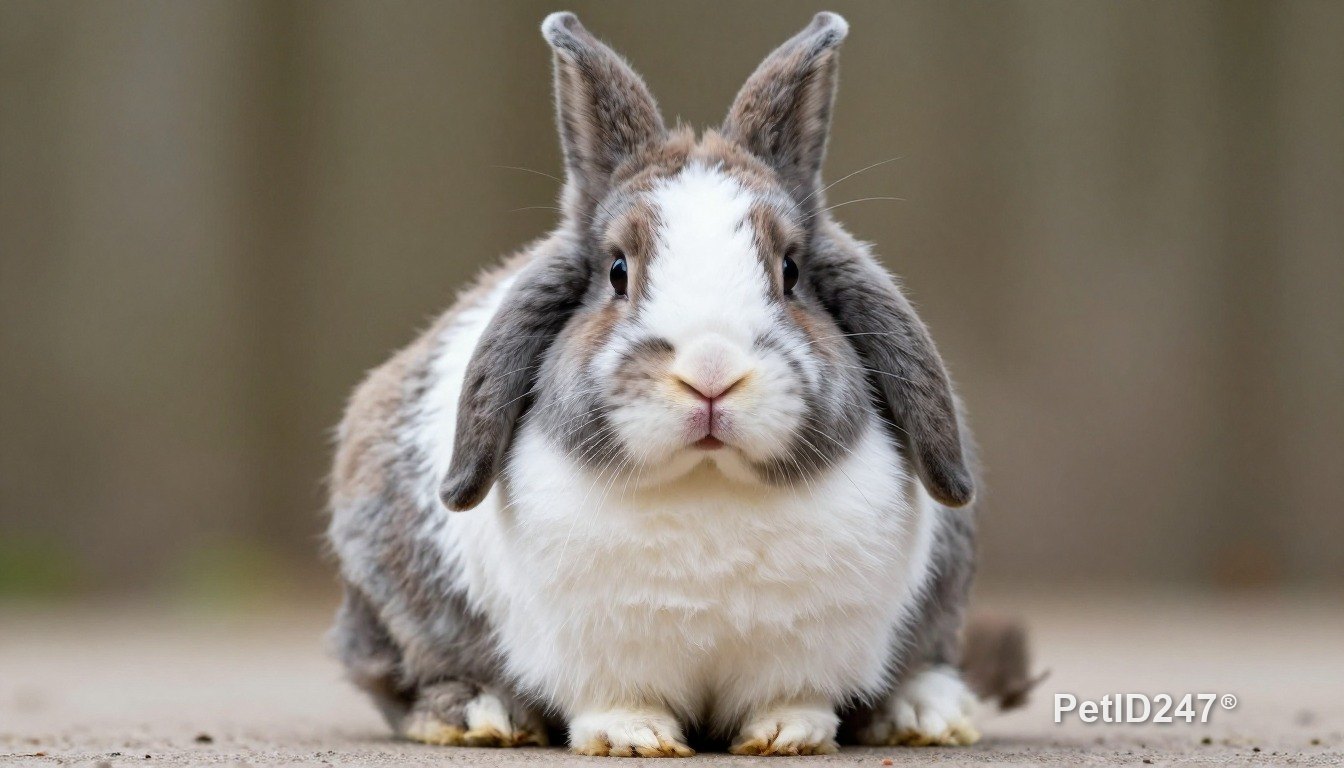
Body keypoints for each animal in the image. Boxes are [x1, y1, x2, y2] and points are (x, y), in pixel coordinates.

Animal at [327, 11, 1008, 757]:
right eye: (618, 271)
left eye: (791, 271)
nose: (710, 373)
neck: (706, 483)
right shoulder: (596, 653)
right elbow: (615, 700)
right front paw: (634, 739)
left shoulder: (803, 654)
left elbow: (793, 696)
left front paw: (786, 735)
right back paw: (481, 717)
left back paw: (924, 715)